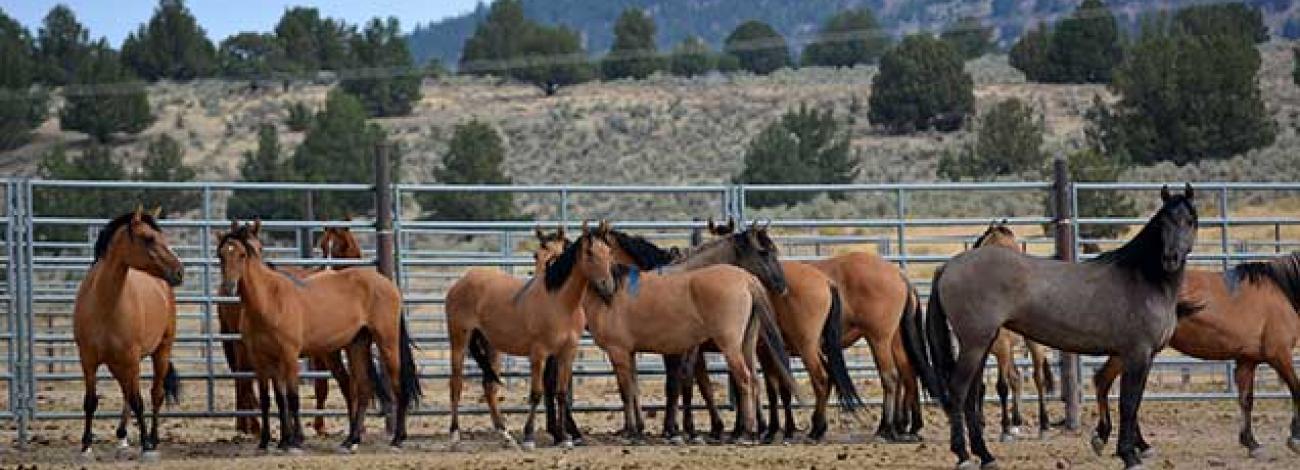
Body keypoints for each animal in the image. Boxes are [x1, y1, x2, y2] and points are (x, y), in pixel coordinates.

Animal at [75, 207, 185, 461]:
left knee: (155, 394)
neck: (104, 304)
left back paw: (153, 439)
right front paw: (86, 447)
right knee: (126, 392)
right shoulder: (88, 360)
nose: (179, 271)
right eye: (149, 238)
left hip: (160, 351)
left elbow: (139, 401)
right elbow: (90, 401)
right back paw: (122, 437)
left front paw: (146, 446)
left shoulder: (132, 358)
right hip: (117, 363)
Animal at [443, 221, 618, 450]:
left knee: (489, 387)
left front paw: (564, 438)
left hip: (491, 345)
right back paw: (455, 434)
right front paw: (529, 437)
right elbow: (536, 393)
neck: (560, 302)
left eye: (609, 251)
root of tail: (461, 281)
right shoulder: (539, 354)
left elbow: (561, 393)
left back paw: (505, 435)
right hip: (459, 340)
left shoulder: (567, 353)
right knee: (456, 383)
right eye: (589, 253)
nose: (608, 287)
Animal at [970, 221, 1057, 442]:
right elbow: (980, 387)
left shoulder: (1001, 347)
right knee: (1016, 377)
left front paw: (1005, 428)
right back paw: (1017, 422)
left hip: (1031, 344)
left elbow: (1001, 386)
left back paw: (1043, 425)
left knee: (1037, 378)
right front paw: (981, 425)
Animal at [1091, 253, 1300, 458]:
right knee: (1111, 385)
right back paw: (1122, 441)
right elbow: (1296, 389)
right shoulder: (1279, 354)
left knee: (1111, 385)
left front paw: (1251, 442)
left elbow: (1246, 400)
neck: (1280, 291)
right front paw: (1295, 439)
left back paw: (1128, 442)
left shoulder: (1247, 360)